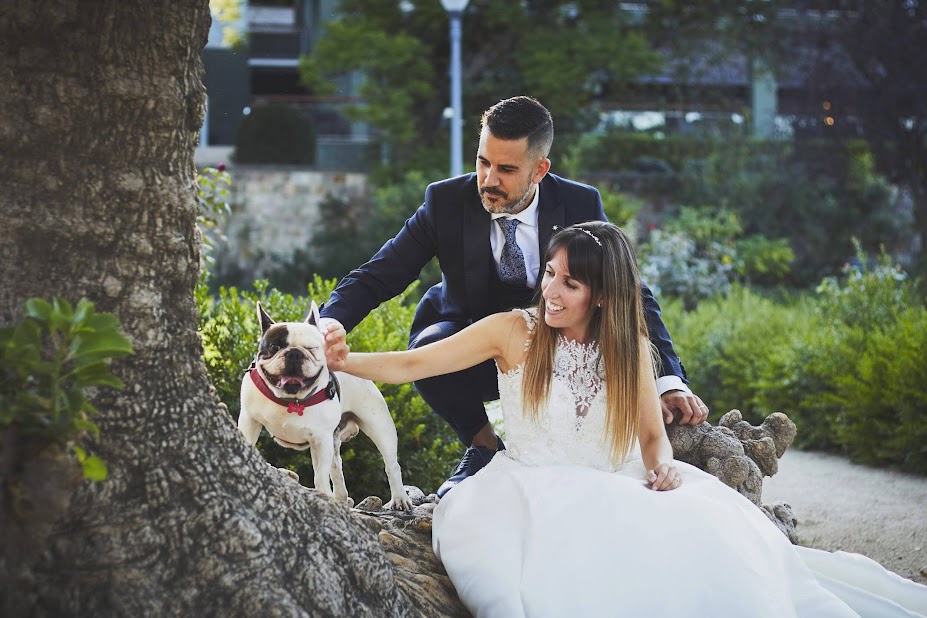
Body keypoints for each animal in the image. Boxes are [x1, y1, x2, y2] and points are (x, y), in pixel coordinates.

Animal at [239, 300, 414, 508]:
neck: (290, 400)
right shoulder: (249, 420)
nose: (294, 354)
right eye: (274, 346)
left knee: (391, 464)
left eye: (311, 348)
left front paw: (322, 495)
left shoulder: (320, 439)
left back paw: (399, 498)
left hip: (379, 427)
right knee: (337, 468)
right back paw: (340, 498)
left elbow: (320, 475)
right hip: (335, 440)